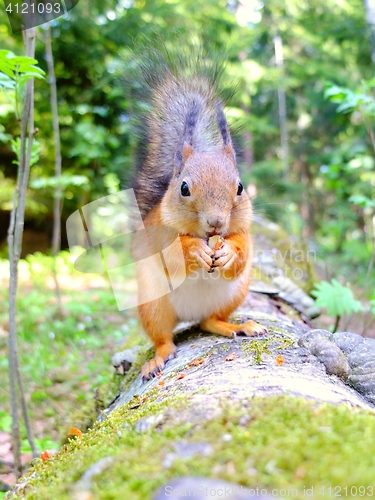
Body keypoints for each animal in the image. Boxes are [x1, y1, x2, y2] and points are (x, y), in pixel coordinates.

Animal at [129, 46, 268, 382]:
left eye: (240, 187)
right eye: (183, 188)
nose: (216, 222)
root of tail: (188, 316)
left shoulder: (244, 232)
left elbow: (242, 251)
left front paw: (228, 252)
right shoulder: (160, 232)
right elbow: (173, 254)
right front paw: (194, 251)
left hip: (233, 295)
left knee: (209, 321)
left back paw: (237, 326)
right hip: (153, 306)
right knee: (163, 338)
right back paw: (158, 358)